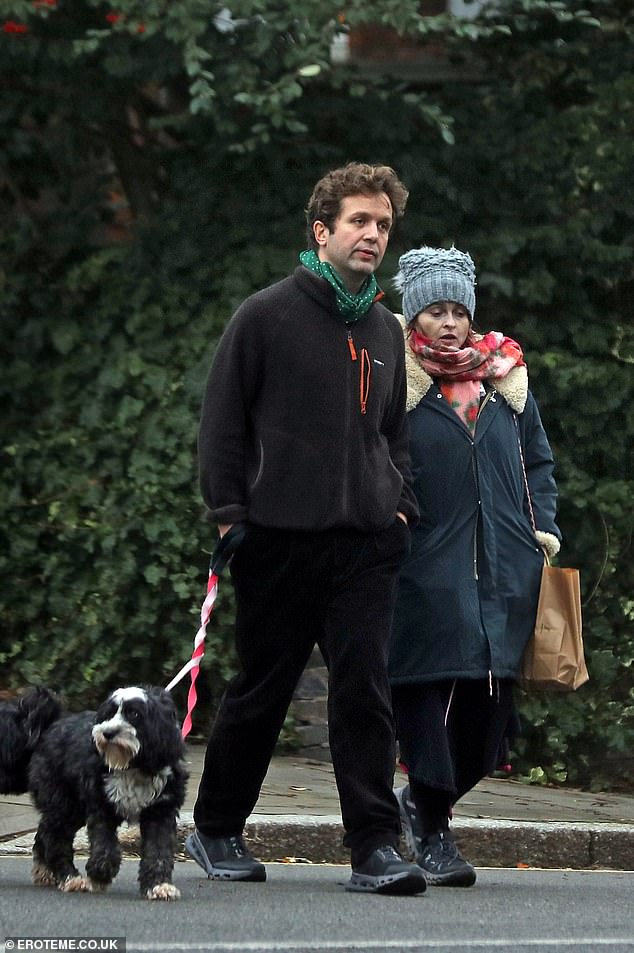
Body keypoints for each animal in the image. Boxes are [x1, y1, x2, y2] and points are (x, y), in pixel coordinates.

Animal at [0, 684, 188, 900]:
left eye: (134, 714)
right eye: (109, 713)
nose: (107, 732)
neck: (133, 766)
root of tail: (50, 725)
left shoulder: (160, 812)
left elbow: (158, 852)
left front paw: (158, 885)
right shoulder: (101, 807)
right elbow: (105, 845)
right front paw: (100, 875)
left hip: (72, 809)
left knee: (45, 833)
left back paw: (46, 872)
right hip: (62, 803)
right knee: (55, 838)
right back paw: (70, 877)